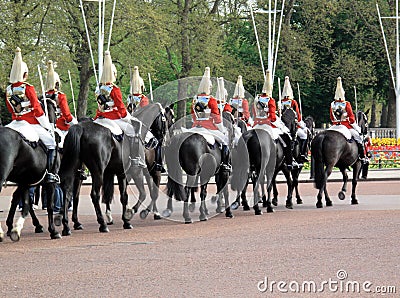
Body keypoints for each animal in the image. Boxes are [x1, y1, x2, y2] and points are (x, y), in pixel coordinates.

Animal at [0, 98, 60, 242]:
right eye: (56, 108)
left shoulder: (25, 181)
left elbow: (23, 202)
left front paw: (13, 228)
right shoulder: (50, 183)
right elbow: (48, 205)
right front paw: (53, 231)